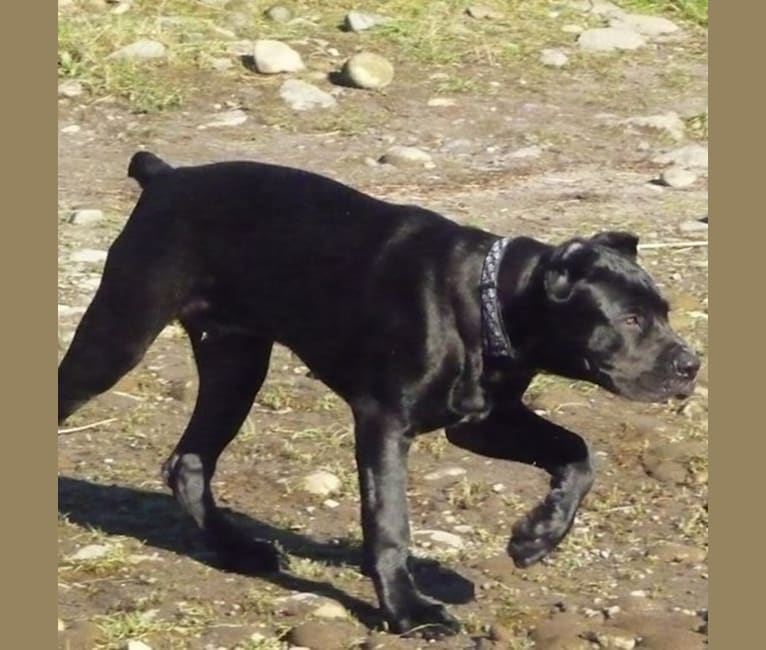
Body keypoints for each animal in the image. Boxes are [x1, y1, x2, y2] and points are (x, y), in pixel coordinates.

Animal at [57, 154, 700, 636]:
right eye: (632, 319)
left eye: (665, 312)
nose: (691, 365)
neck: (489, 298)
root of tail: (166, 176)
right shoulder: (385, 422)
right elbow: (389, 522)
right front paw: (408, 612)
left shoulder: (484, 422)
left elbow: (577, 453)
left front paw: (536, 537)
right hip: (116, 339)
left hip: (235, 361)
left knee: (188, 463)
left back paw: (242, 553)